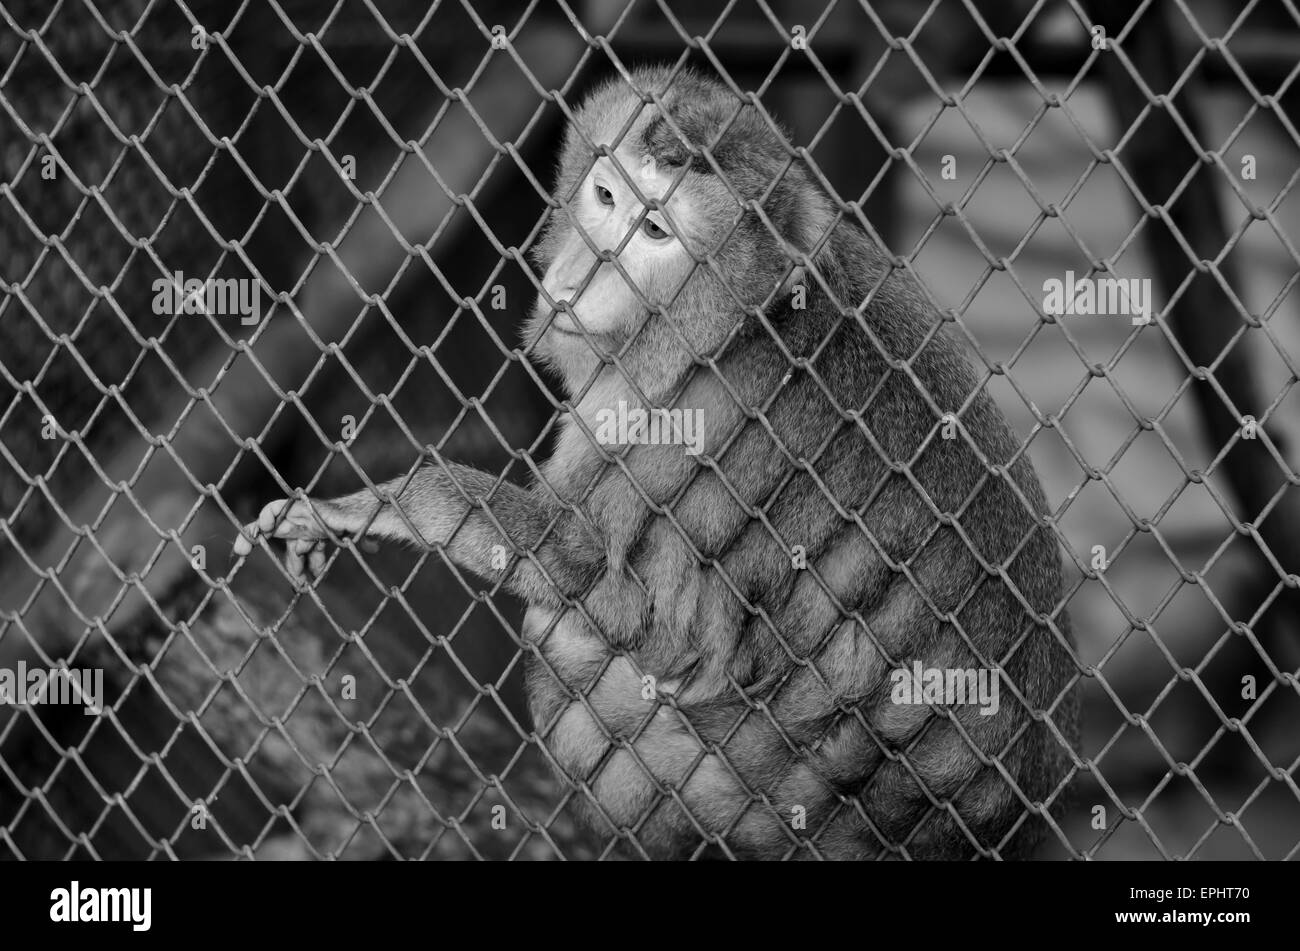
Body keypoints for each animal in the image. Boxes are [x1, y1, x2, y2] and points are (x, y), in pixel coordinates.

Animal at [233, 65, 1079, 860]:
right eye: (605, 196)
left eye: (653, 230)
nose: (580, 273)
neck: (733, 325)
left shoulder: (699, 421)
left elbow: (614, 593)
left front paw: (378, 504)